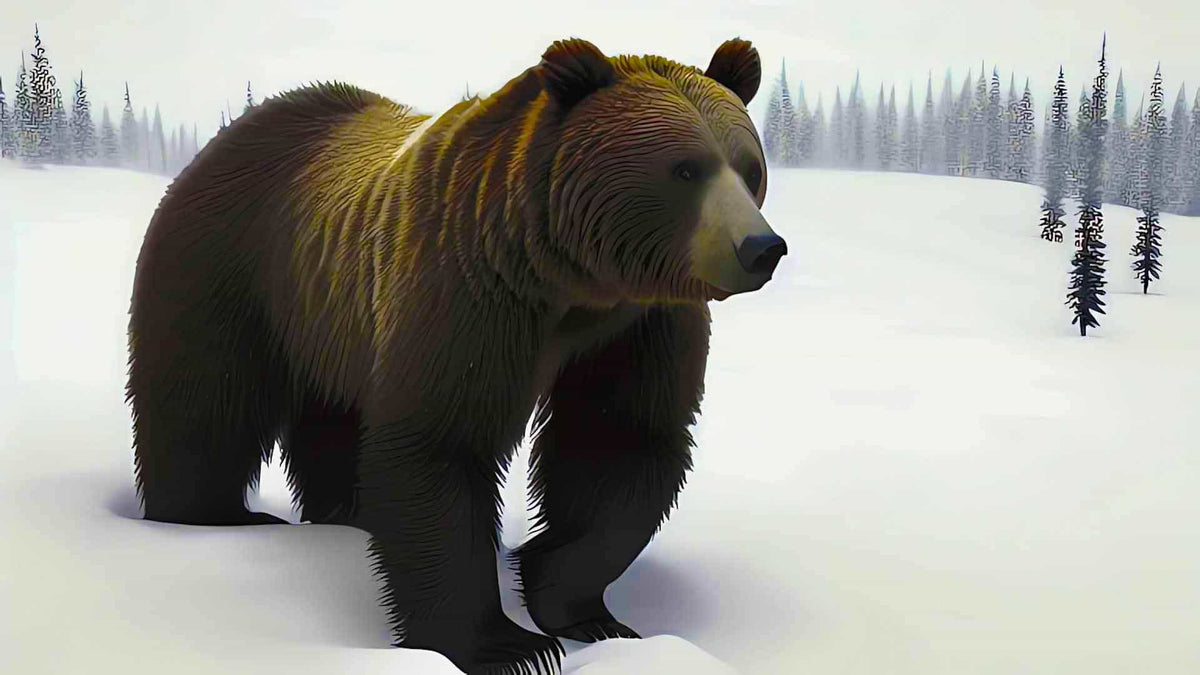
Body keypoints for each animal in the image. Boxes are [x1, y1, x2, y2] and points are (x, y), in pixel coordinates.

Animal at [125, 37, 785, 675]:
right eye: (685, 169)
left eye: (749, 167)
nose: (760, 247)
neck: (573, 278)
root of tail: (235, 132)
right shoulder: (468, 287)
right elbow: (440, 442)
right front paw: (505, 648)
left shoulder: (640, 323)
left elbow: (620, 441)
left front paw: (583, 609)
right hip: (230, 266)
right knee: (203, 400)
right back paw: (210, 518)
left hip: (334, 312)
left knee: (333, 419)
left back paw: (344, 514)